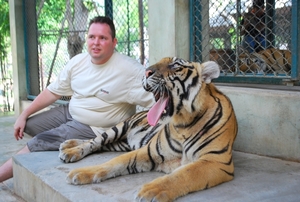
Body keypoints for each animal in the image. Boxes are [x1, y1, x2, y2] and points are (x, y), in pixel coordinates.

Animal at [58, 57, 237, 202]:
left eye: (175, 65)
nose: (146, 72)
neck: (183, 124)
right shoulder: (148, 150)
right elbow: (113, 162)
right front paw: (80, 173)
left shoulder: (215, 161)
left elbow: (183, 174)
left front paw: (151, 190)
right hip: (119, 128)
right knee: (95, 141)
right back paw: (70, 149)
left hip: (121, 143)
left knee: (101, 145)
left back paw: (67, 146)